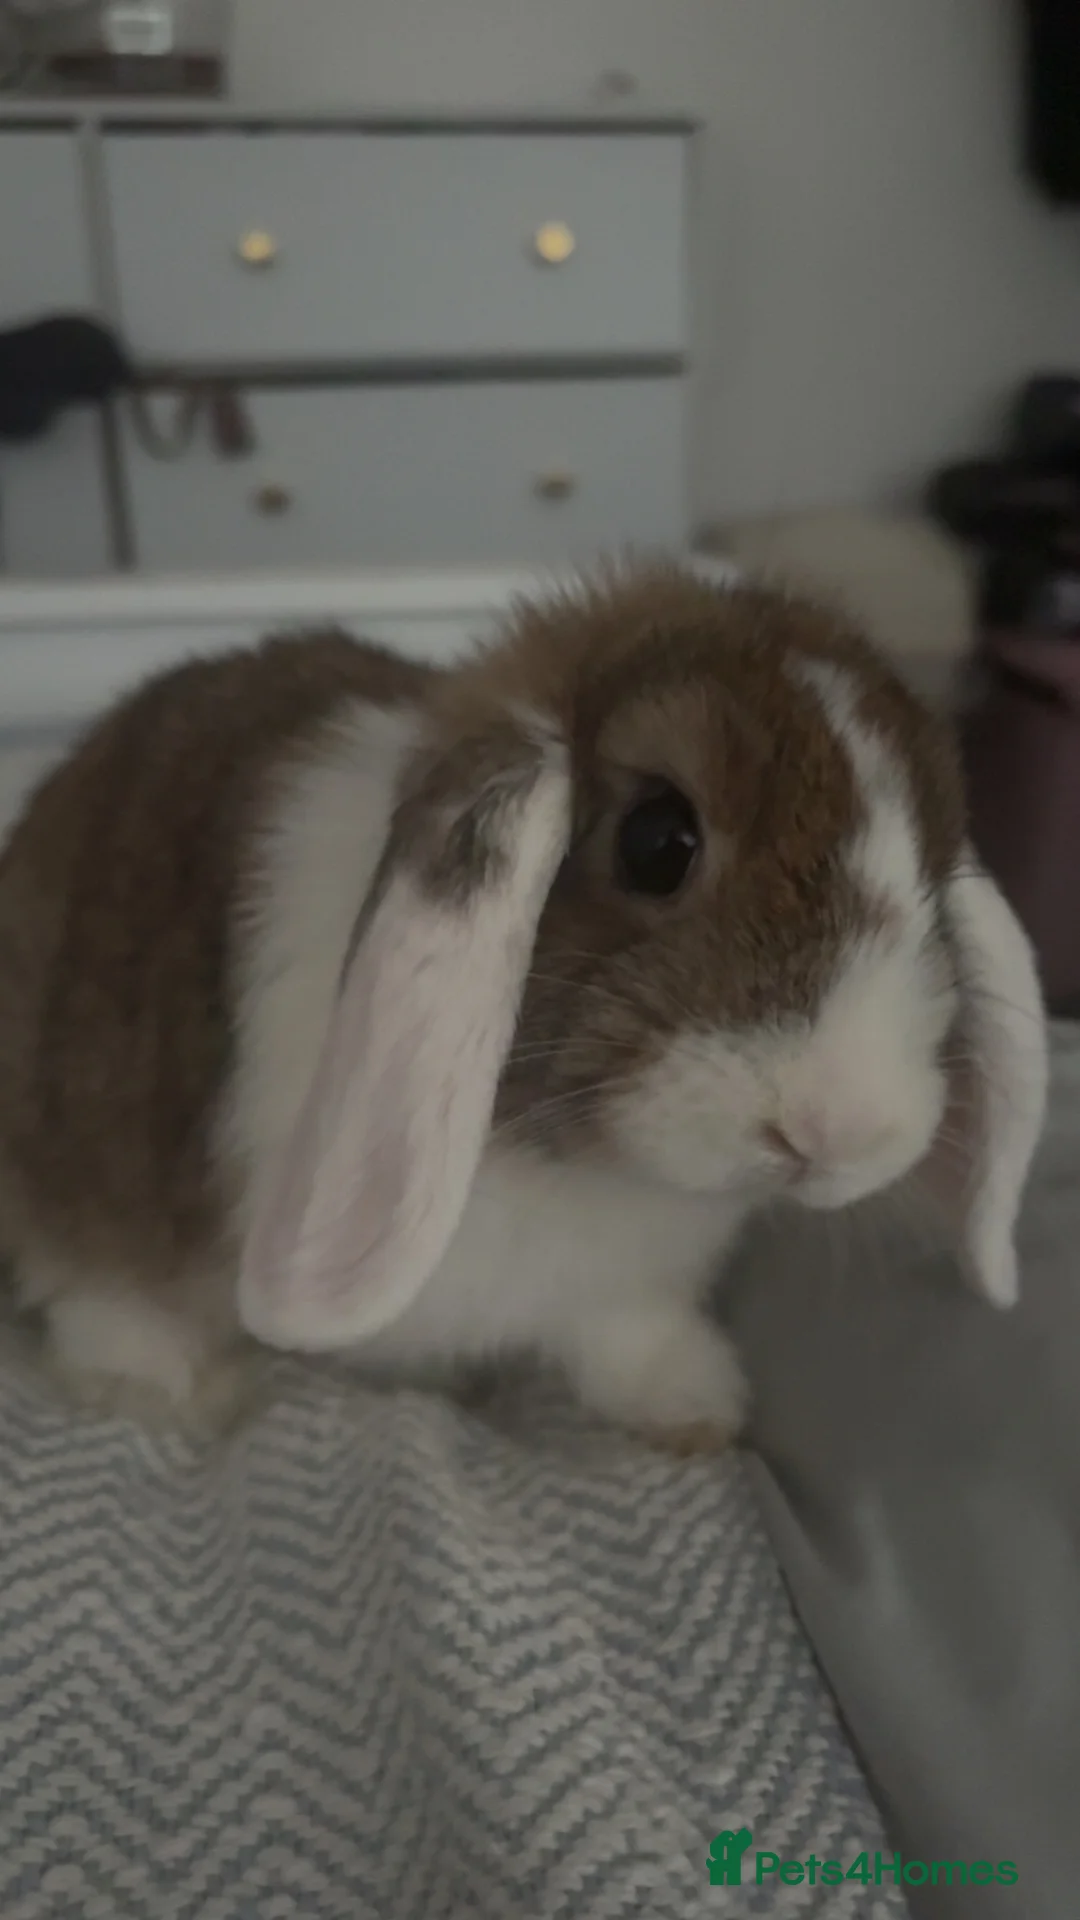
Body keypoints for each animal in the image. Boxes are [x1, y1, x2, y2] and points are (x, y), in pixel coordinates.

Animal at [0, 563, 1048, 1449]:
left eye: (937, 883)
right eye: (657, 840)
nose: (841, 1133)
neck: (572, 1161)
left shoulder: (621, 1293)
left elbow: (627, 1338)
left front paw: (696, 1409)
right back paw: (170, 1385)